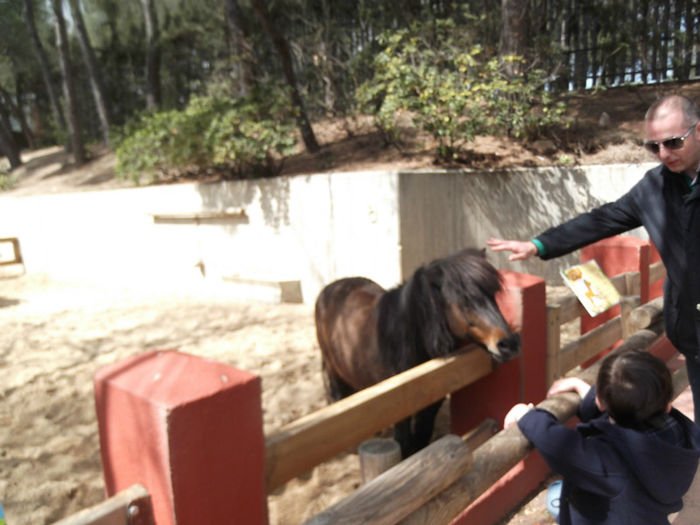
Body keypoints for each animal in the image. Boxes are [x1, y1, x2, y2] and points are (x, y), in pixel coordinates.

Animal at [316, 248, 520, 456]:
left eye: (493, 294)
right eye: (463, 298)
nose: (510, 343)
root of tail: (329, 289)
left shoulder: (432, 403)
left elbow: (422, 437)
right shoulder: (397, 409)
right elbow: (405, 443)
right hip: (333, 369)